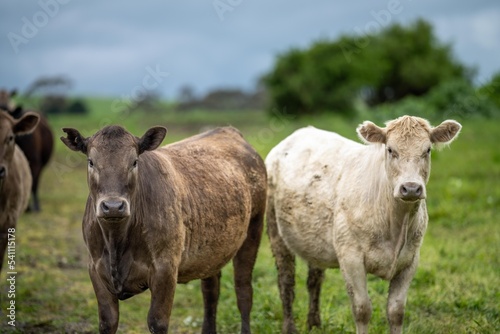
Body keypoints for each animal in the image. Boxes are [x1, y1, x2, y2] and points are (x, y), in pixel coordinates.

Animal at [61, 124, 268, 332]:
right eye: (91, 162)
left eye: (134, 162)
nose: (113, 206)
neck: (115, 241)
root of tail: (227, 130)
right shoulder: (95, 269)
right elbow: (108, 322)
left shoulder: (165, 269)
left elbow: (157, 322)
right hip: (211, 252)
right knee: (210, 292)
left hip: (254, 229)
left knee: (243, 291)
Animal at [266, 115, 460, 334]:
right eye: (390, 149)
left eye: (427, 150)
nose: (411, 188)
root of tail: (300, 132)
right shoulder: (350, 257)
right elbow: (362, 309)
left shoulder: (411, 259)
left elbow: (396, 311)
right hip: (275, 229)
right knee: (286, 282)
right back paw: (290, 326)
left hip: (314, 238)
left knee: (314, 280)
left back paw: (314, 323)